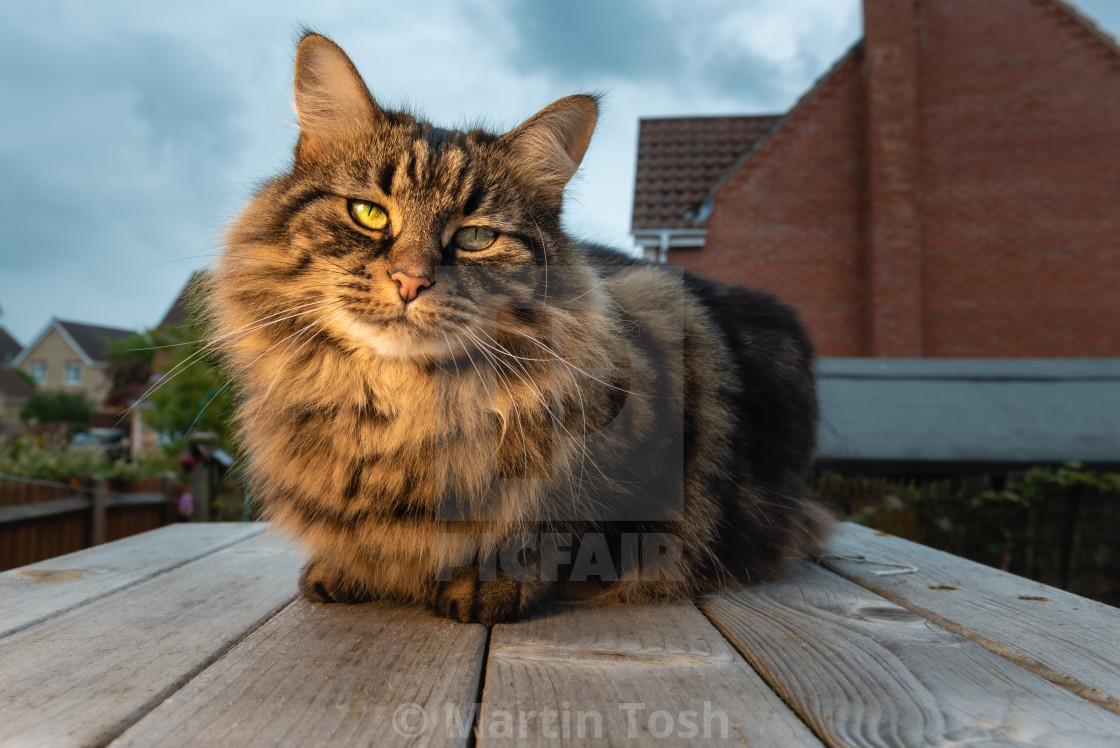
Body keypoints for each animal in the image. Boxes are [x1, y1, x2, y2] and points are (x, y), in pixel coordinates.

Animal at [208, 32, 833, 622]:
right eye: (369, 213)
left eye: (476, 238)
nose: (410, 282)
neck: (400, 416)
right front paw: (346, 569)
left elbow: (548, 534)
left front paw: (489, 582)